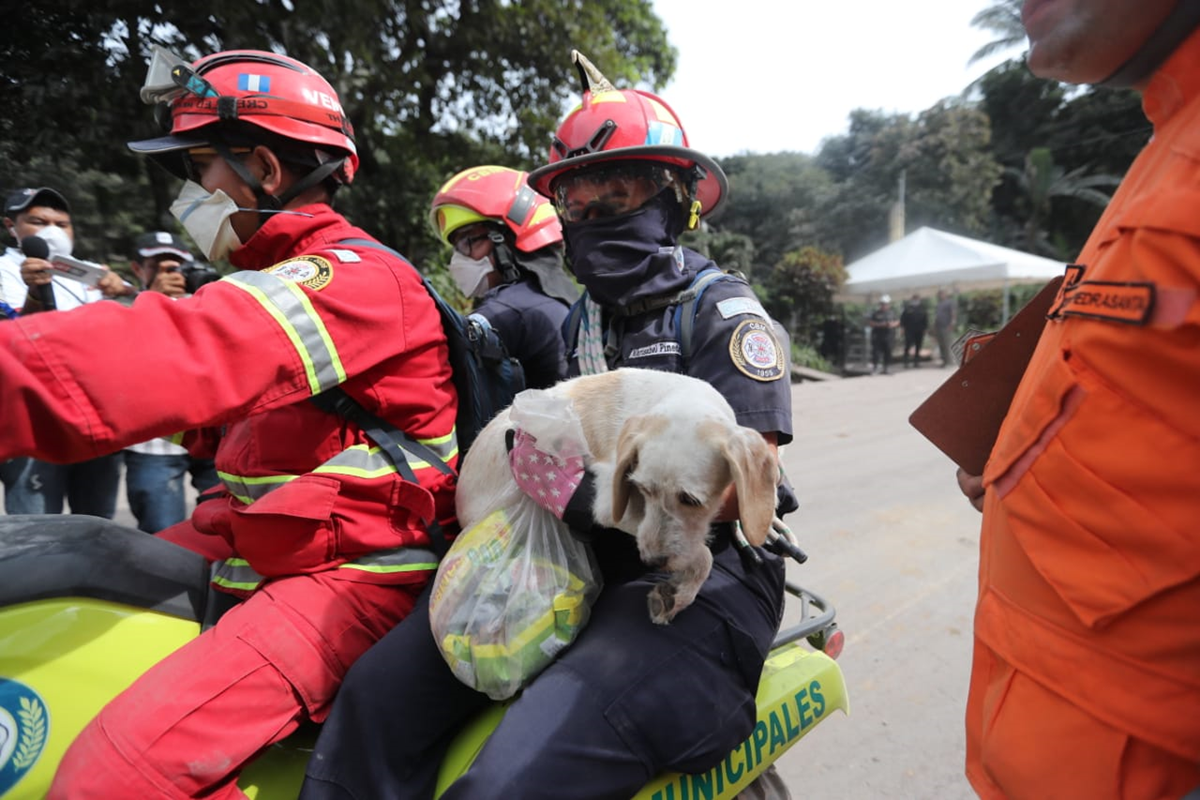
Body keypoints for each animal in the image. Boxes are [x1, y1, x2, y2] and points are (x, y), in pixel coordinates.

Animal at [456, 369, 777, 623]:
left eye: (691, 500)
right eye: (643, 489)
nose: (651, 561)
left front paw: (679, 592)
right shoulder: (610, 504)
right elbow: (704, 555)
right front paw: (680, 593)